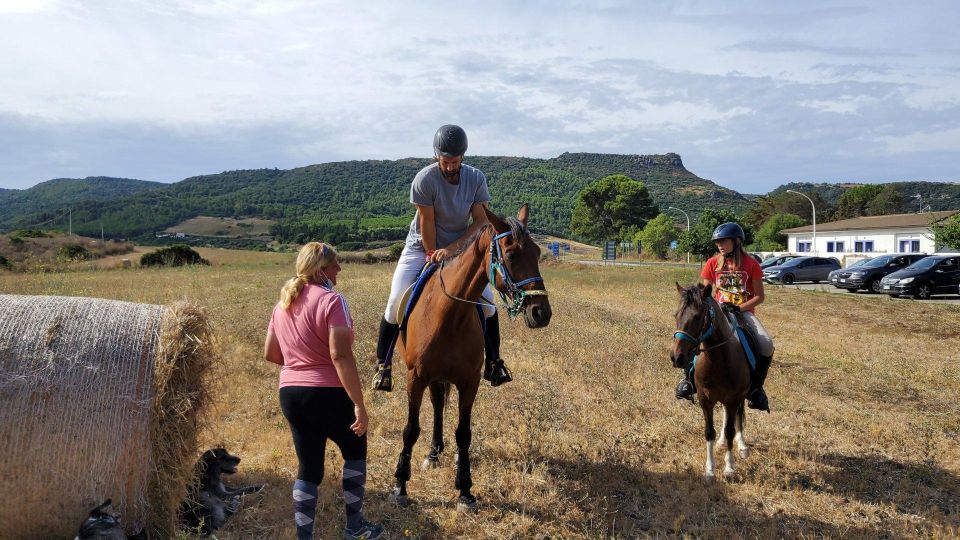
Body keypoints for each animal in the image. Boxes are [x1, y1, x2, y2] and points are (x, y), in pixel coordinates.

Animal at [392, 202, 556, 510]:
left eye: (538, 252)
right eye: (512, 254)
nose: (541, 312)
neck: (449, 315)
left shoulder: (469, 382)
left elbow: (463, 433)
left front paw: (465, 489)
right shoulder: (415, 378)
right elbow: (410, 429)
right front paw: (400, 484)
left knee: (440, 407)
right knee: (435, 406)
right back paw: (432, 454)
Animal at [672, 282, 752, 480]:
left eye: (697, 317)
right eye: (676, 315)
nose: (677, 357)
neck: (719, 360)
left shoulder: (733, 398)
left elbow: (731, 430)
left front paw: (729, 468)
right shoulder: (705, 400)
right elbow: (709, 432)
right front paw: (709, 470)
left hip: (741, 396)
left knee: (739, 413)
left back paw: (742, 445)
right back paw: (721, 442)